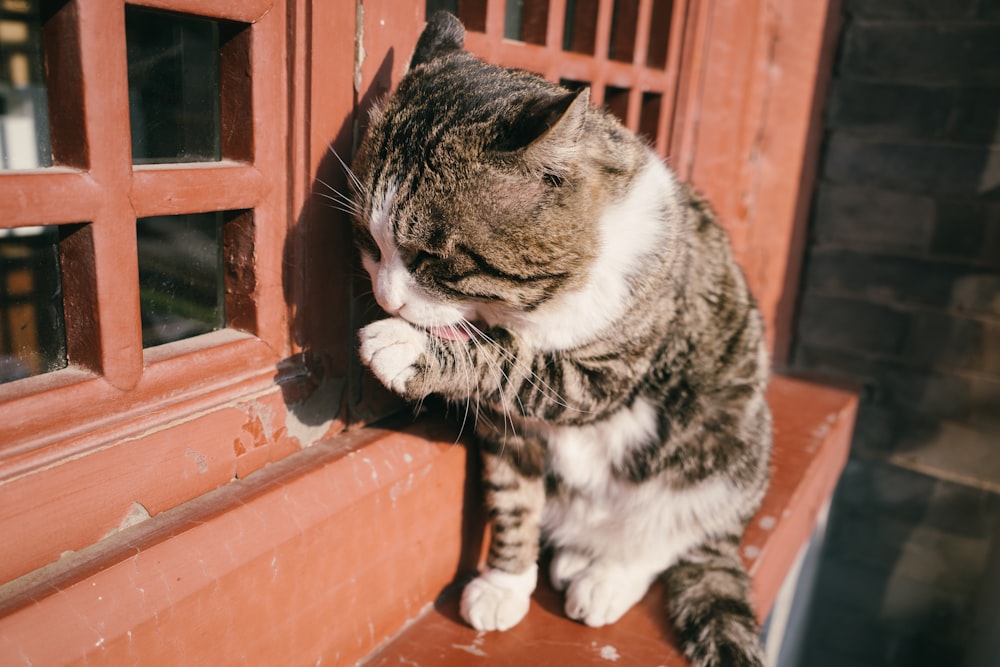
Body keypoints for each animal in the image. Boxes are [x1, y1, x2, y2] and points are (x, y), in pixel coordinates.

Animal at [352, 10, 772, 667]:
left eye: (431, 259)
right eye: (370, 245)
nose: (388, 298)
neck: (540, 306)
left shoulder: (601, 377)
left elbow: (516, 366)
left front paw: (407, 347)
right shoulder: (508, 429)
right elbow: (514, 497)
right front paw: (506, 582)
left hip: (725, 456)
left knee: (671, 535)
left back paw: (608, 577)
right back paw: (576, 558)